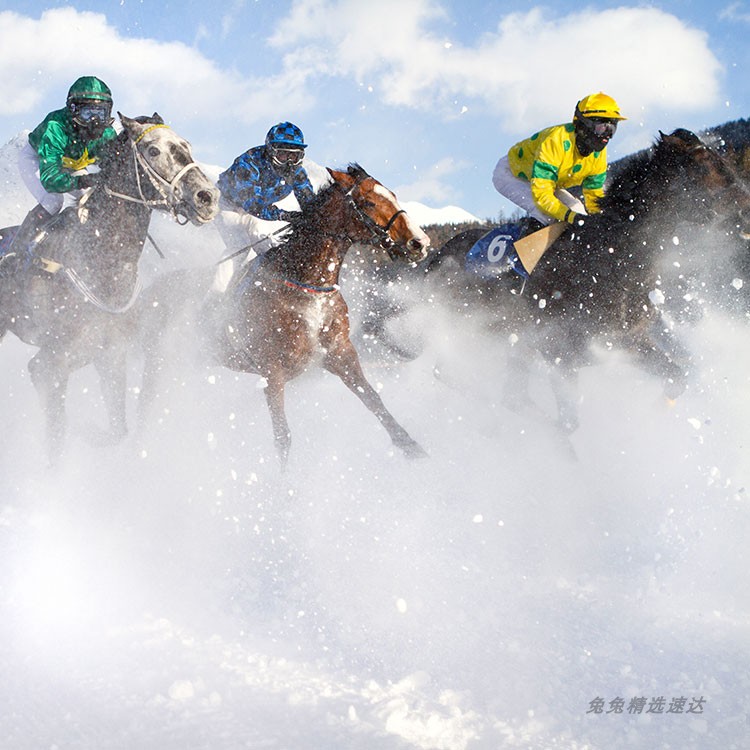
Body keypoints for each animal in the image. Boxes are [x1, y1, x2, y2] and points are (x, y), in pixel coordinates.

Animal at [0, 114, 220, 462]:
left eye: (186, 145)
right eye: (153, 150)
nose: (207, 197)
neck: (99, 263)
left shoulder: (111, 355)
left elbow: (118, 430)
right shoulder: (50, 365)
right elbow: (55, 441)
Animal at [138, 167, 432, 468]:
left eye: (393, 195)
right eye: (370, 202)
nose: (420, 243)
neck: (306, 283)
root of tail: (148, 292)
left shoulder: (340, 352)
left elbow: (373, 399)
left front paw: (414, 449)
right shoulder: (272, 370)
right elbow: (283, 436)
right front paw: (284, 483)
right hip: (158, 360)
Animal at [414, 131, 750, 428]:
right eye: (704, 162)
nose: (747, 212)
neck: (613, 258)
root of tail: (440, 254)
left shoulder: (629, 341)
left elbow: (677, 377)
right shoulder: (562, 352)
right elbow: (566, 423)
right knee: (453, 373)